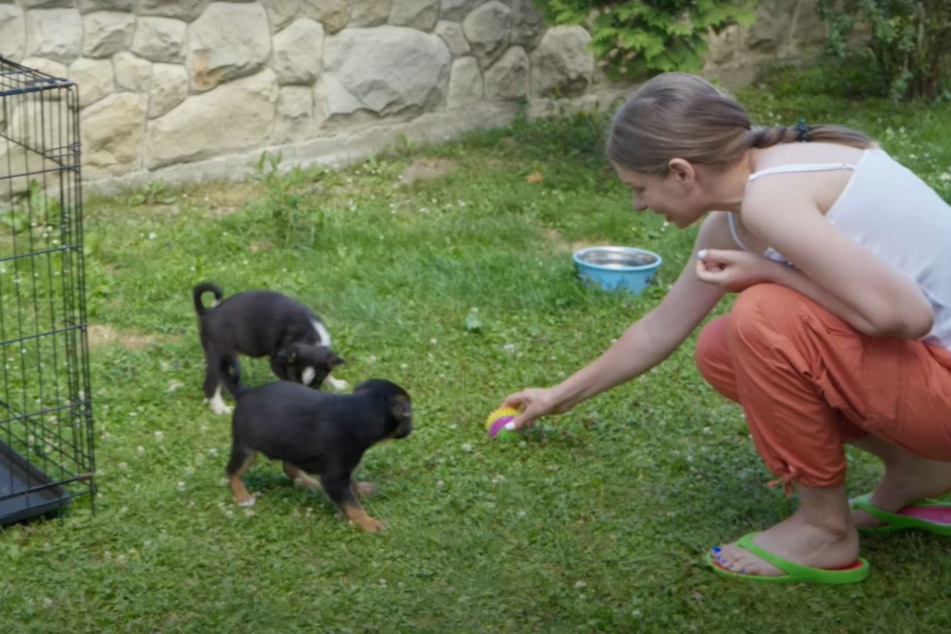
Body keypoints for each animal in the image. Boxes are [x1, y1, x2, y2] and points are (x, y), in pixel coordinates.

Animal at [193, 282, 350, 414]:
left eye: (316, 383)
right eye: (293, 377)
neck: (310, 340)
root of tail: (207, 313)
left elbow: (328, 372)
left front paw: (337, 384)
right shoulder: (276, 362)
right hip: (220, 355)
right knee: (210, 384)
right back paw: (221, 408)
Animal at [219, 358, 412, 532]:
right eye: (408, 418)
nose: (411, 429)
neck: (362, 409)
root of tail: (244, 393)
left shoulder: (342, 471)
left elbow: (352, 485)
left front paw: (362, 491)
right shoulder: (335, 476)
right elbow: (352, 506)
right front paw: (369, 523)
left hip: (291, 445)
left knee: (289, 468)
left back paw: (309, 483)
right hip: (245, 448)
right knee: (233, 471)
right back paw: (243, 497)